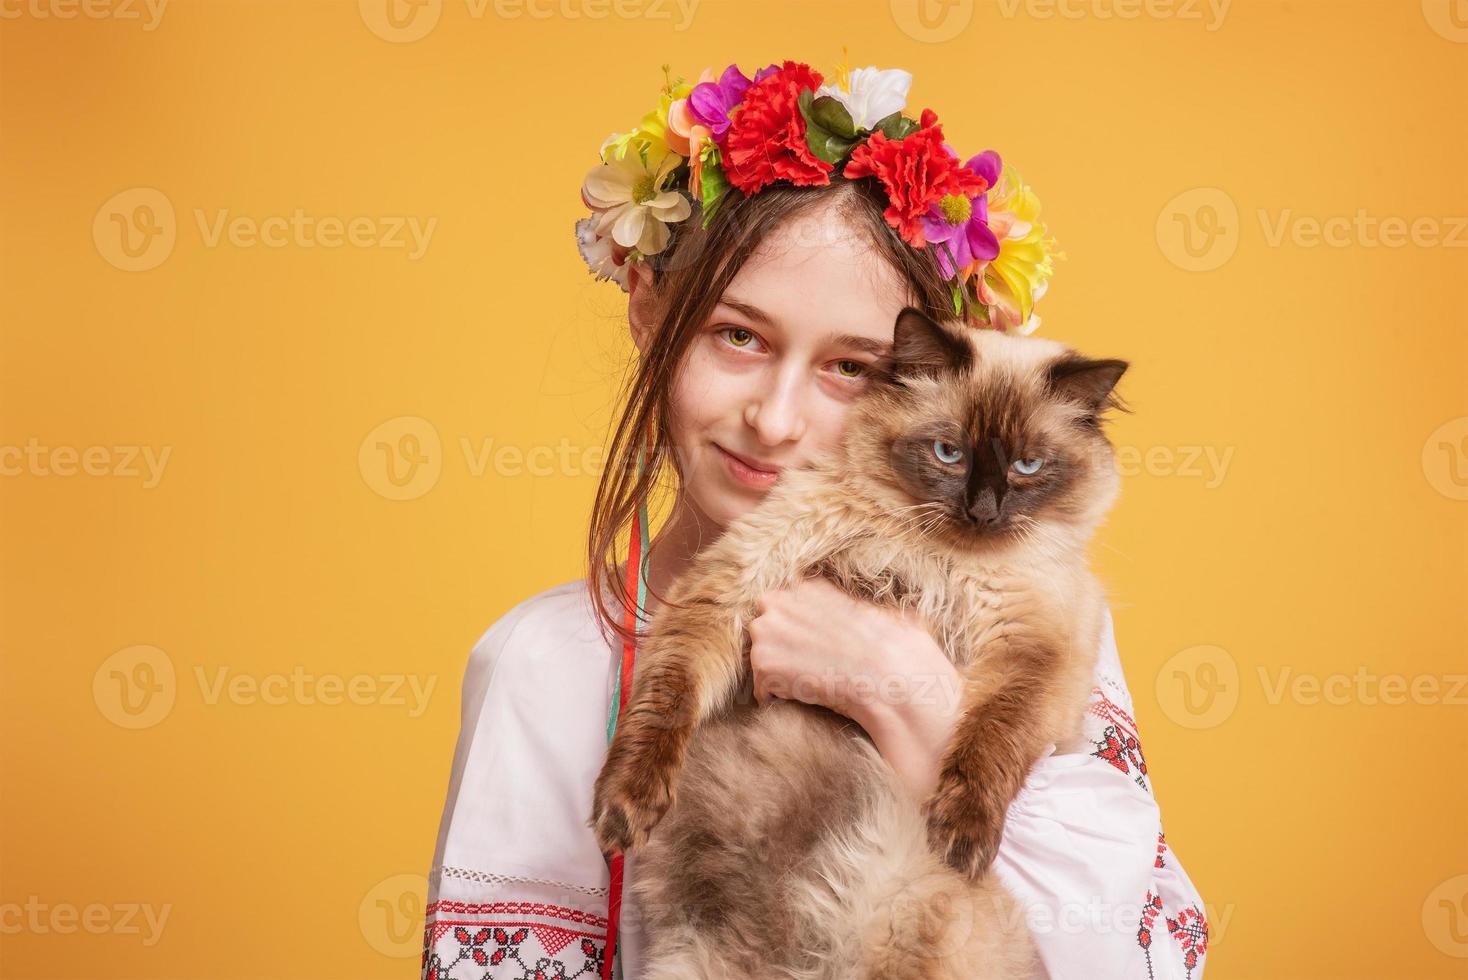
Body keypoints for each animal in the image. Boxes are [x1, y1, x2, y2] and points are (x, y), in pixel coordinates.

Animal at [590, 306, 1127, 979]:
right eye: (948, 453)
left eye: (1027, 466)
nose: (983, 511)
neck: (933, 556)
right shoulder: (735, 583)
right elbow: (663, 706)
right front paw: (626, 808)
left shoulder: (1034, 651)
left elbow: (989, 739)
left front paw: (963, 837)